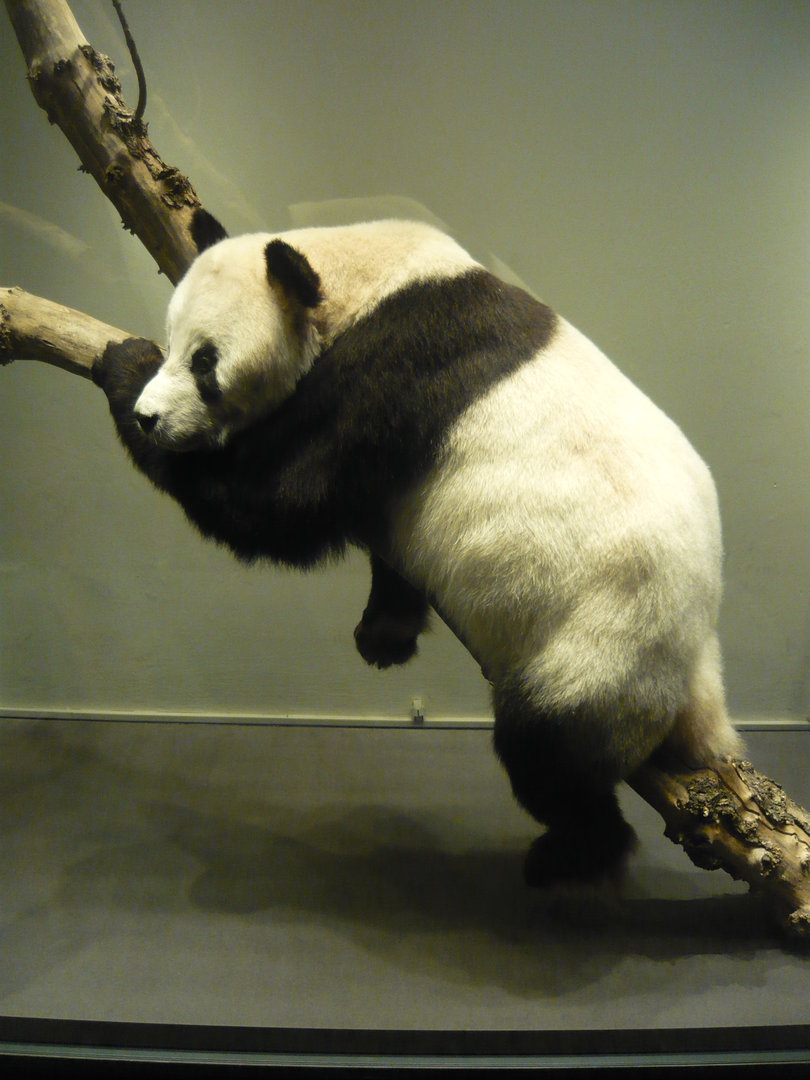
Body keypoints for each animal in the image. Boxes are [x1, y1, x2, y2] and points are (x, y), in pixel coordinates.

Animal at [93, 207, 742, 888]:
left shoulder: (396, 370)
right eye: (175, 343)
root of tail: (698, 657)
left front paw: (122, 368)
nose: (150, 419)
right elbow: (382, 547)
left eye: (206, 364)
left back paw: (570, 853)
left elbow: (278, 502)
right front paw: (384, 635)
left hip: (605, 638)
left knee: (549, 747)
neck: (366, 280)